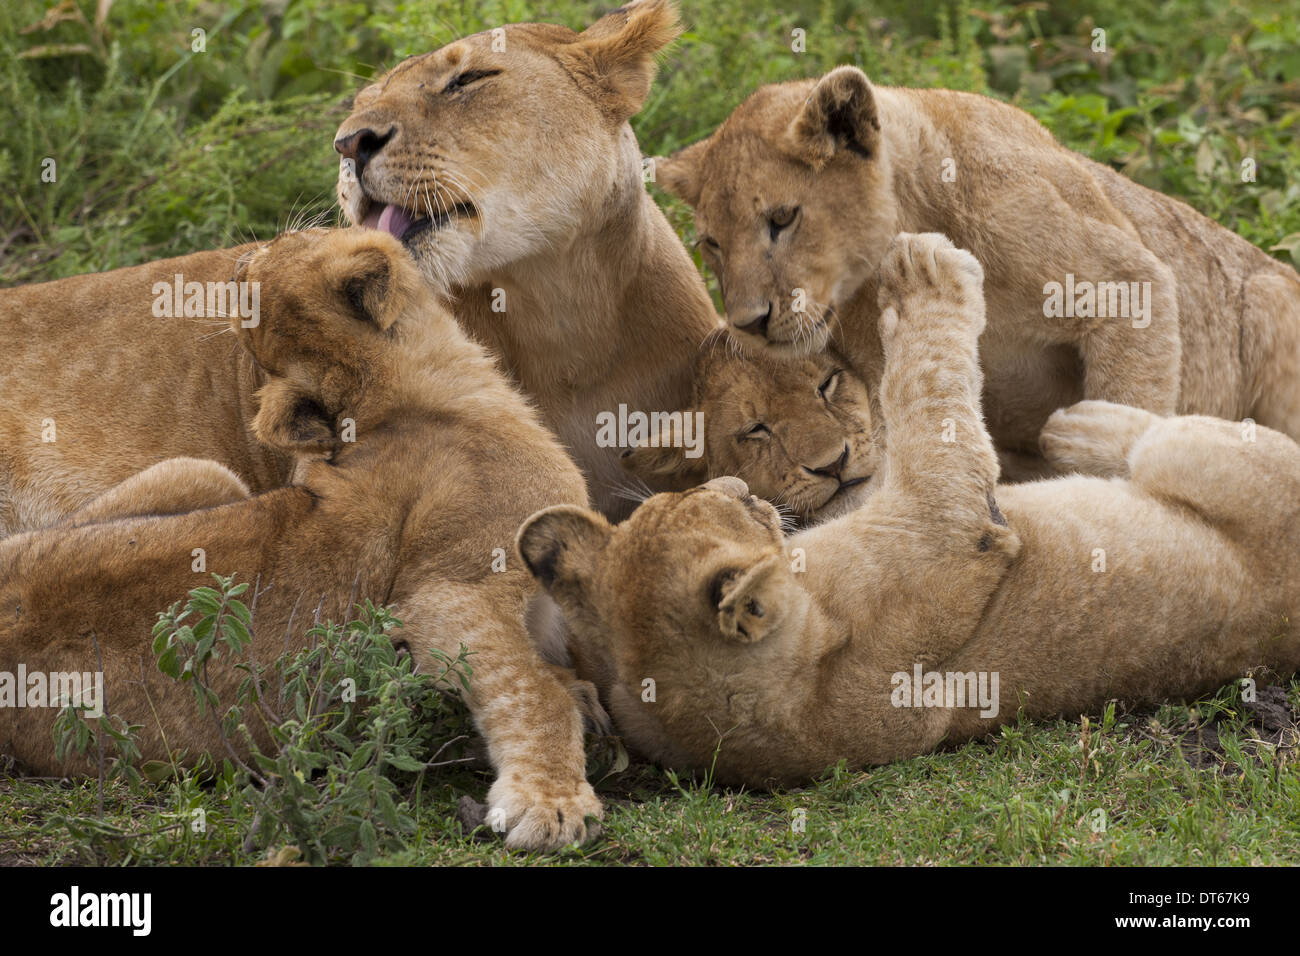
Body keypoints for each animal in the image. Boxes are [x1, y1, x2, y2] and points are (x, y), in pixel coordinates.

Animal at [0, 228, 603, 851]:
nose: (243, 255)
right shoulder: (450, 592)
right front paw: (551, 804)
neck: (391, 401)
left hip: (196, 474)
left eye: (281, 246)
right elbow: (529, 689)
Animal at [650, 67, 1300, 475]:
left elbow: (1127, 393)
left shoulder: (1124, 283)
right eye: (711, 244)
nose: (748, 323)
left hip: (1271, 292)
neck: (917, 214)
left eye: (782, 219)